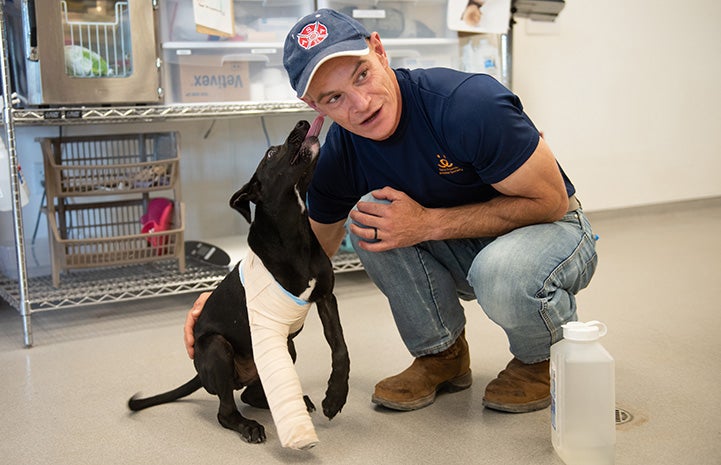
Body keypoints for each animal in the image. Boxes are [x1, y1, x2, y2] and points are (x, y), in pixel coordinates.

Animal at [131, 119, 352, 446]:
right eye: (271, 153)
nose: (302, 123)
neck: (295, 233)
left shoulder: (326, 297)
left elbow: (340, 347)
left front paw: (336, 396)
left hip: (286, 346)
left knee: (252, 394)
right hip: (217, 347)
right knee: (226, 411)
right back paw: (247, 425)